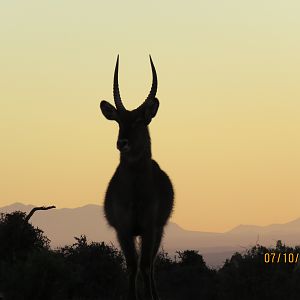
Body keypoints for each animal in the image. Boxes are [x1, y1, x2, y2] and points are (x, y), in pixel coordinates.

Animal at [99, 55, 173, 298]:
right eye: (118, 121)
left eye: (140, 120)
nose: (122, 142)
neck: (134, 192)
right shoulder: (123, 230)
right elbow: (131, 267)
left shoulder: (149, 227)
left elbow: (145, 266)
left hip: (158, 230)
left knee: (151, 266)